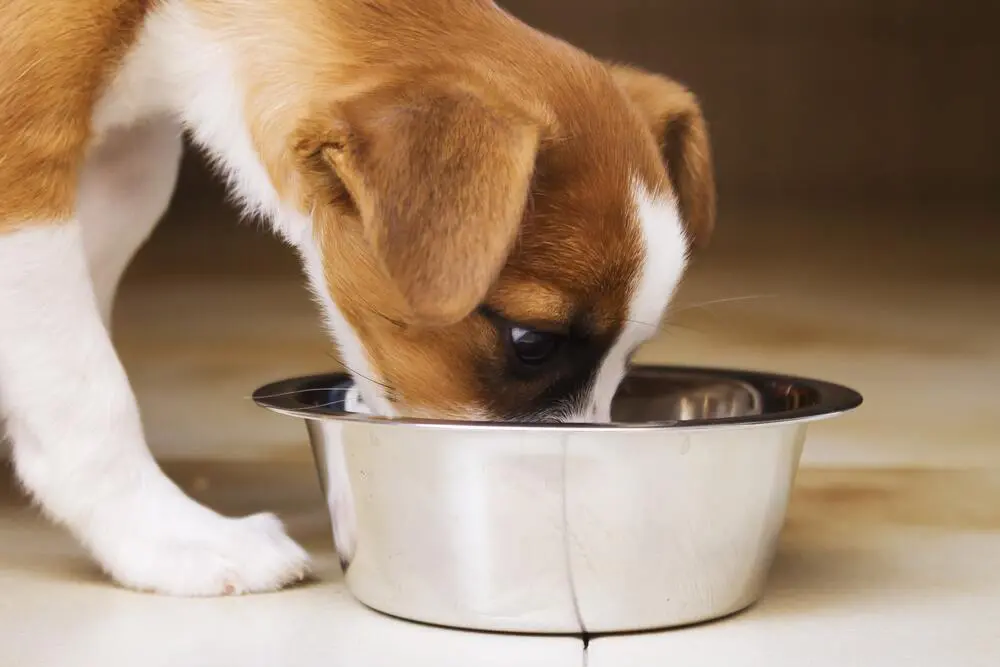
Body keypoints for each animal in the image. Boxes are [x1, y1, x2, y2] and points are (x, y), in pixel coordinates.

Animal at [1, 0, 720, 596]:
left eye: (631, 356)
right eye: (531, 343)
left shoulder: (130, 164)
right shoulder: (24, 172)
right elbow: (87, 390)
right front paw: (164, 534)